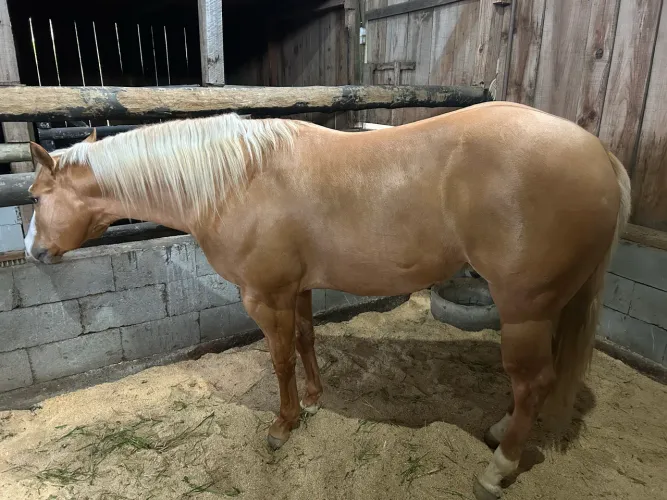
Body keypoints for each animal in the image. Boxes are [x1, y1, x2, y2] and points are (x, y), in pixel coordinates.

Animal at [24, 101, 630, 500]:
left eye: (33, 196)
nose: (31, 251)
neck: (237, 180)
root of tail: (598, 153)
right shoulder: (298, 287)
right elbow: (307, 341)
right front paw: (315, 400)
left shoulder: (264, 296)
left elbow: (279, 358)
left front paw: (284, 425)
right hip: (547, 308)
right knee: (538, 381)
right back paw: (503, 432)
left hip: (524, 308)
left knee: (532, 382)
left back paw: (498, 468)